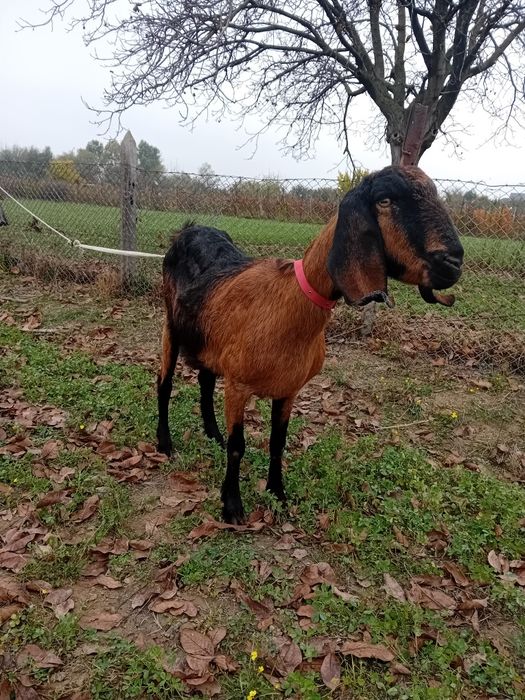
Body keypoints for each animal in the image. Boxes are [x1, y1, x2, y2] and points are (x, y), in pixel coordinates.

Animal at [156, 165, 464, 524]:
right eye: (384, 201)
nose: (453, 262)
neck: (289, 304)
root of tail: (188, 230)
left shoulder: (289, 389)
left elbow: (278, 442)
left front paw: (277, 492)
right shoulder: (238, 385)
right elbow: (238, 447)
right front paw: (232, 506)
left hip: (209, 343)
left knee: (205, 381)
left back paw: (212, 434)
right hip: (171, 325)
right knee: (164, 383)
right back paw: (165, 443)